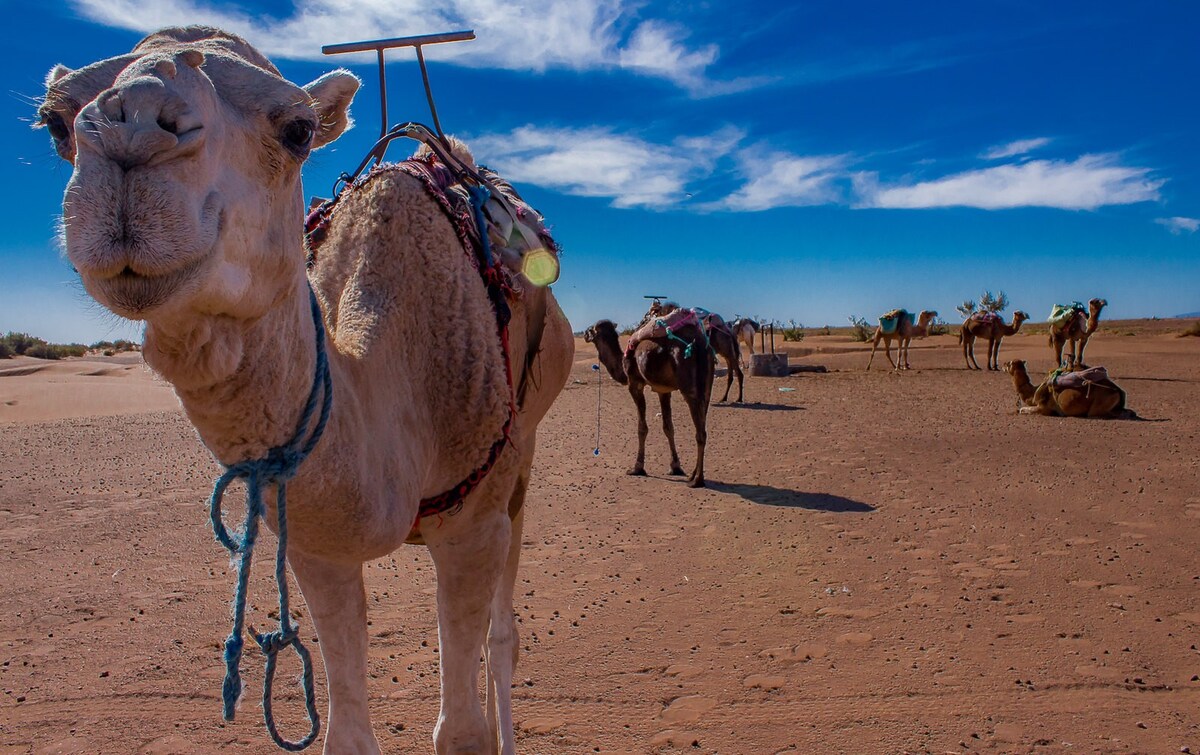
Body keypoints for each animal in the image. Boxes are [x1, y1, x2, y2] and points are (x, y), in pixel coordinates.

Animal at [39, 25, 573, 753]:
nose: (133, 129)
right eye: (55, 121)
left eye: (296, 130)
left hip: (521, 457)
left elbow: (464, 730)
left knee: (504, 635)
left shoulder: (475, 523)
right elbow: (346, 733)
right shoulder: (315, 548)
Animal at [583, 314, 710, 484]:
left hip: (688, 384)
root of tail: (700, 345)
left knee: (700, 431)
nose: (584, 333)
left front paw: (637, 467)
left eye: (591, 329)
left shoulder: (634, 384)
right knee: (702, 424)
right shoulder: (663, 390)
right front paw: (675, 466)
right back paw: (693, 474)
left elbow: (641, 428)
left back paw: (697, 480)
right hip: (707, 386)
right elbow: (668, 427)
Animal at [1003, 360, 1132, 417]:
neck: (1034, 391)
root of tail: (1118, 391)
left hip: (1099, 405)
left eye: (1008, 364)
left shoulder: (1044, 408)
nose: (1003, 364)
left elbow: (1022, 409)